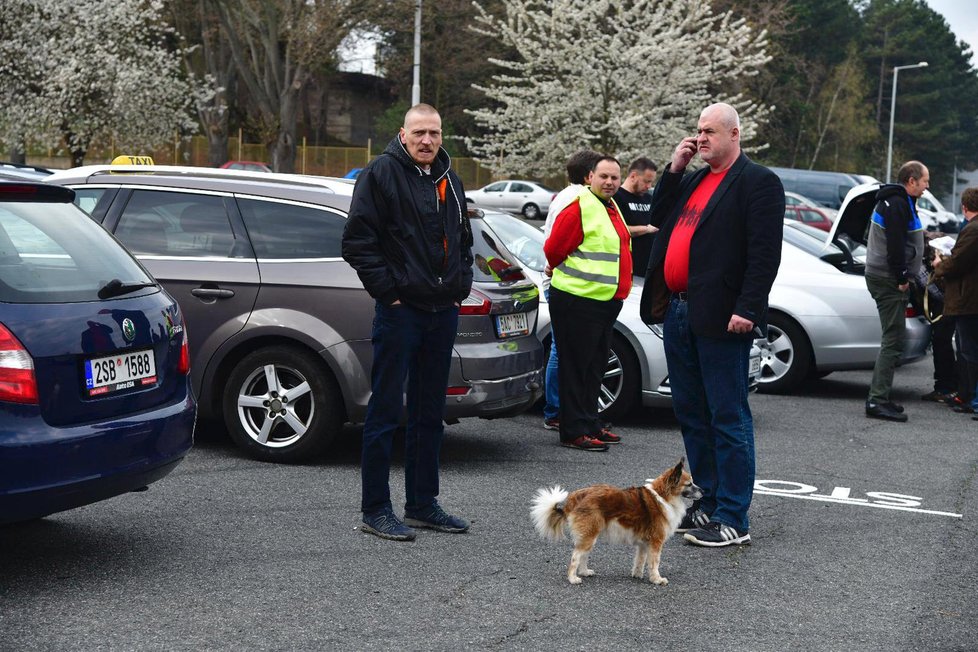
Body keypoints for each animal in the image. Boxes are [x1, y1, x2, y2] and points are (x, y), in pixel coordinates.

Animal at [528, 458, 696, 584]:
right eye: (689, 484)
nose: (702, 491)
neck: (662, 496)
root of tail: (575, 498)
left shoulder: (644, 543)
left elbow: (640, 560)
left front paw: (637, 574)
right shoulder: (656, 542)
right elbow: (655, 562)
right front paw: (657, 579)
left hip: (590, 534)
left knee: (583, 554)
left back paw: (584, 572)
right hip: (590, 534)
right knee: (576, 556)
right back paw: (573, 578)